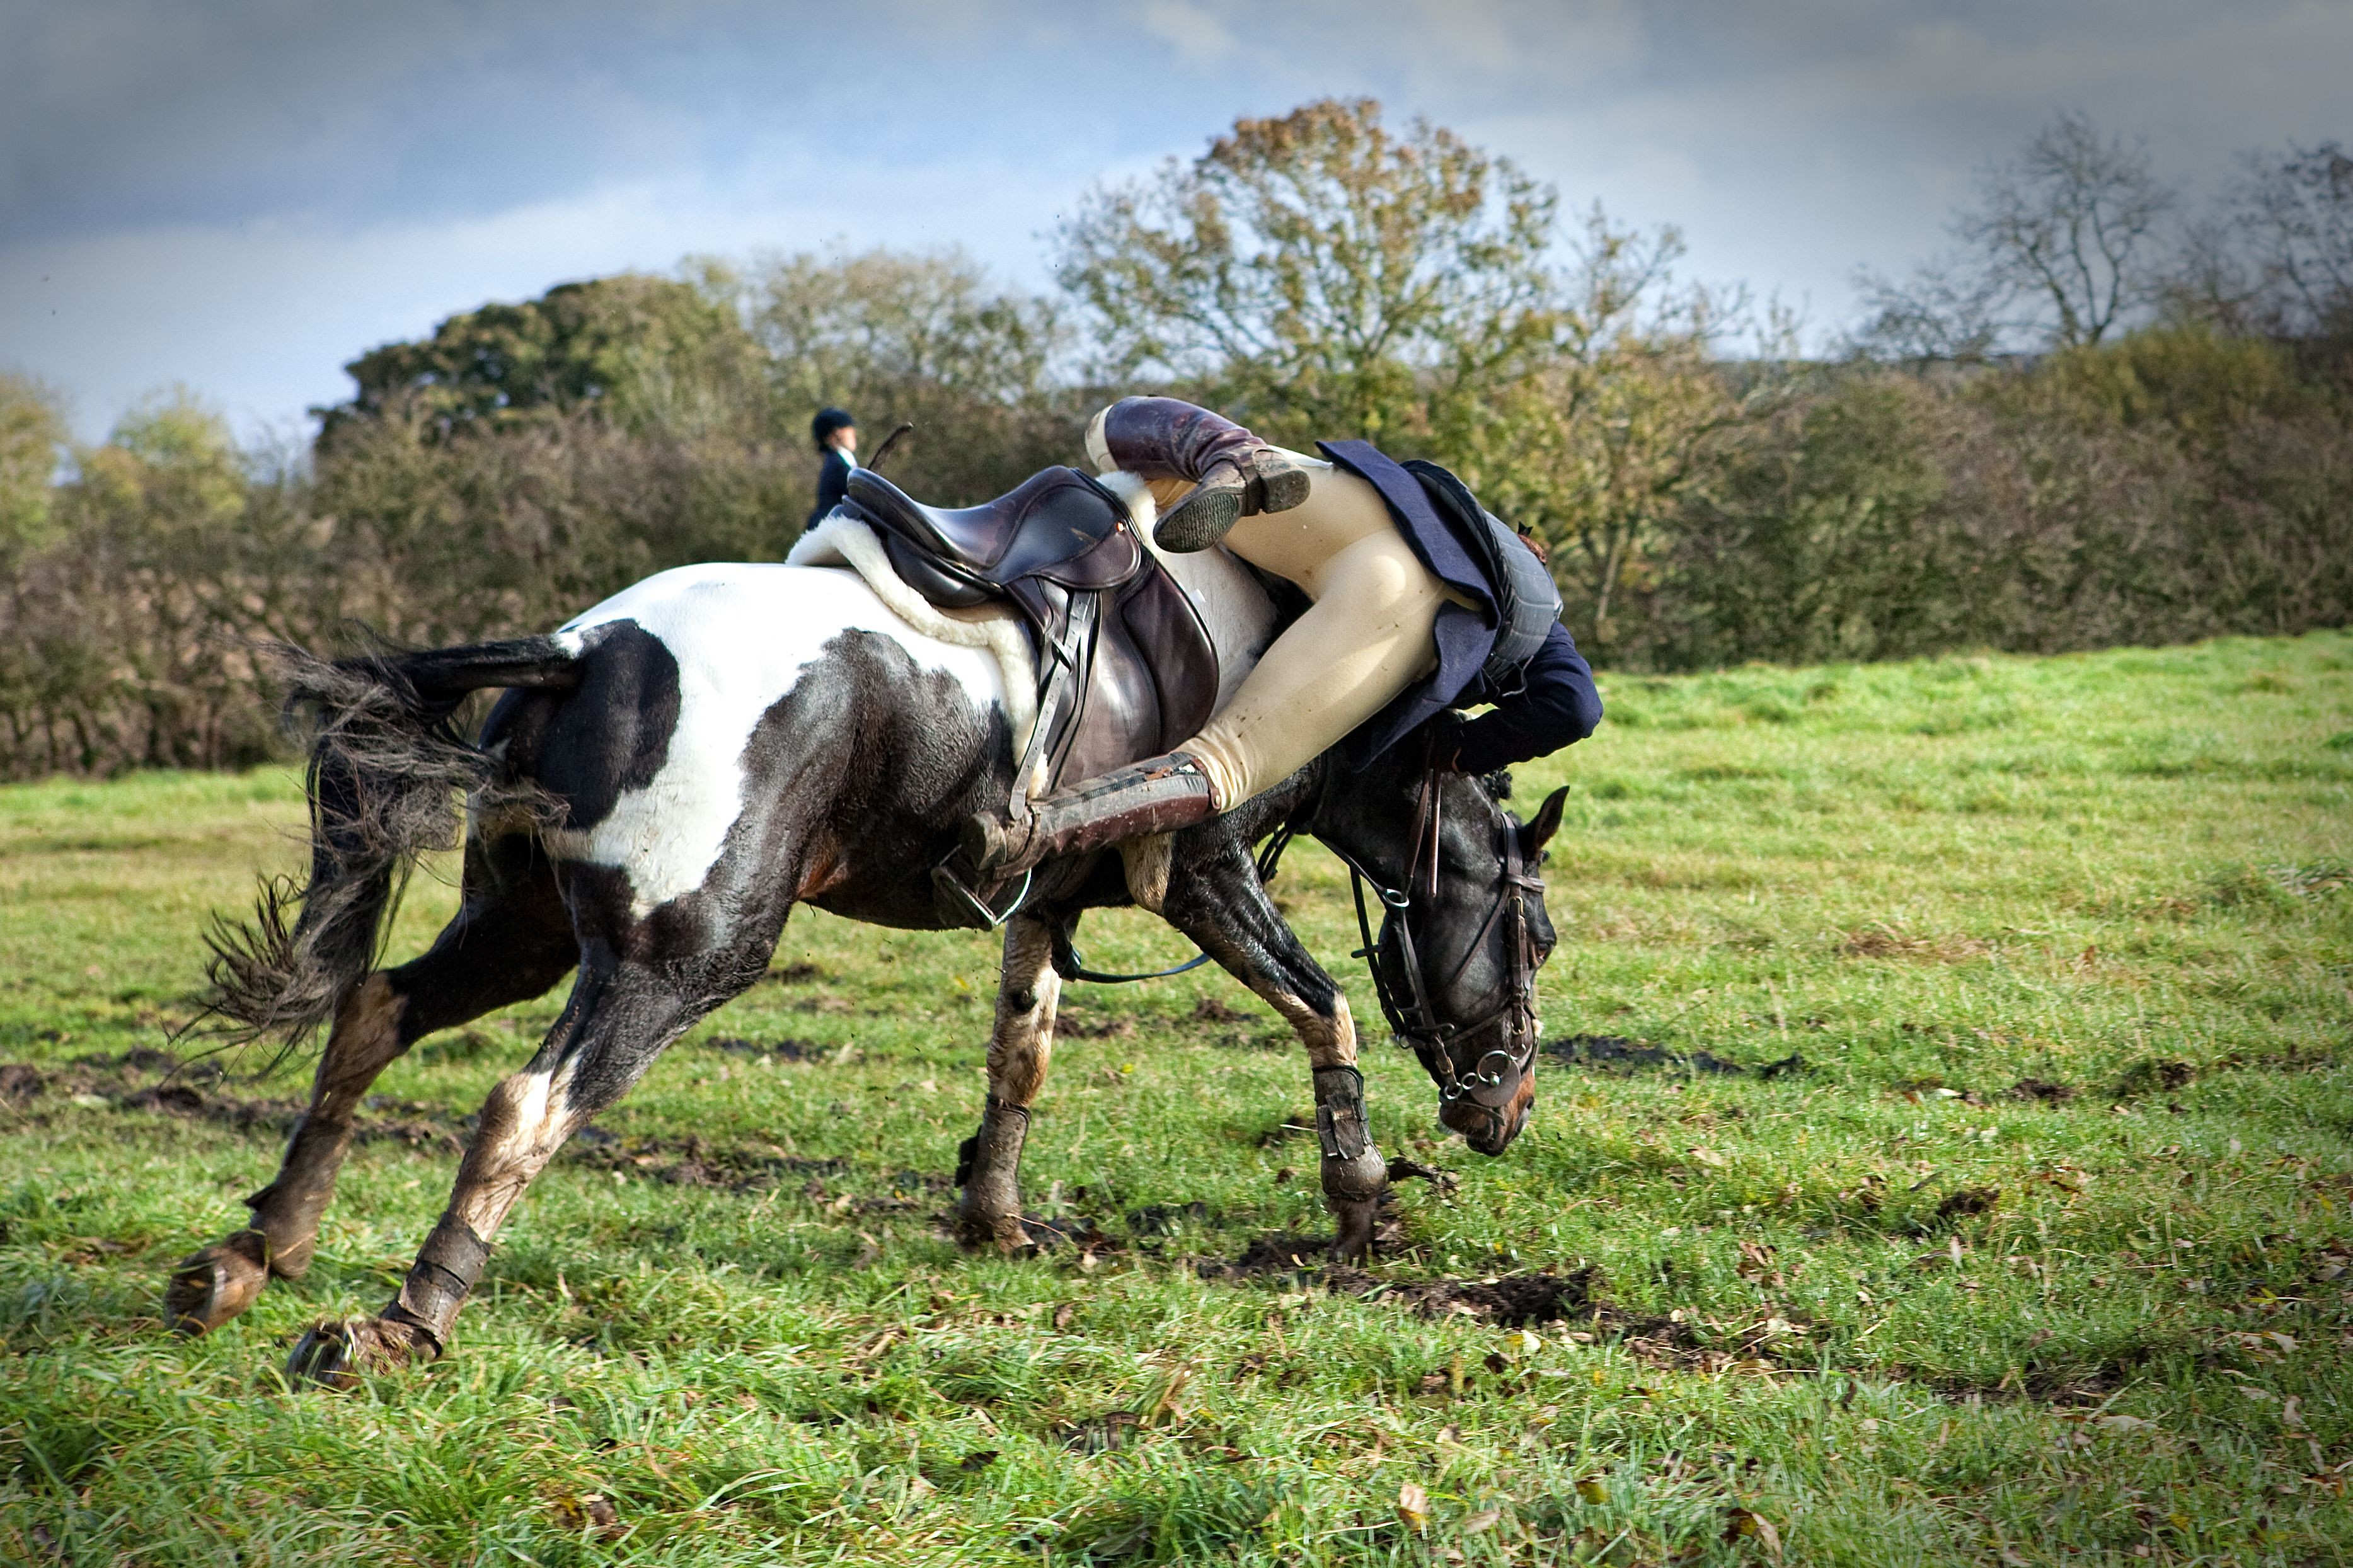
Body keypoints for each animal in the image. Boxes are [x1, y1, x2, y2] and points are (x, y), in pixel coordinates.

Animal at [166, 554, 1562, 1382]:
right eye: (1538, 935)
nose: (1504, 1109)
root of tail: (587, 648)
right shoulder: (1206, 875)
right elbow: (1324, 1004)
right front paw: (1362, 1193)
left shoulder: (1042, 902)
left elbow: (1020, 1053)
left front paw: (992, 1216)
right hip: (679, 956)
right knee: (523, 1101)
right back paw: (404, 1322)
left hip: (526, 928)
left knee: (371, 1010)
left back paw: (262, 1247)